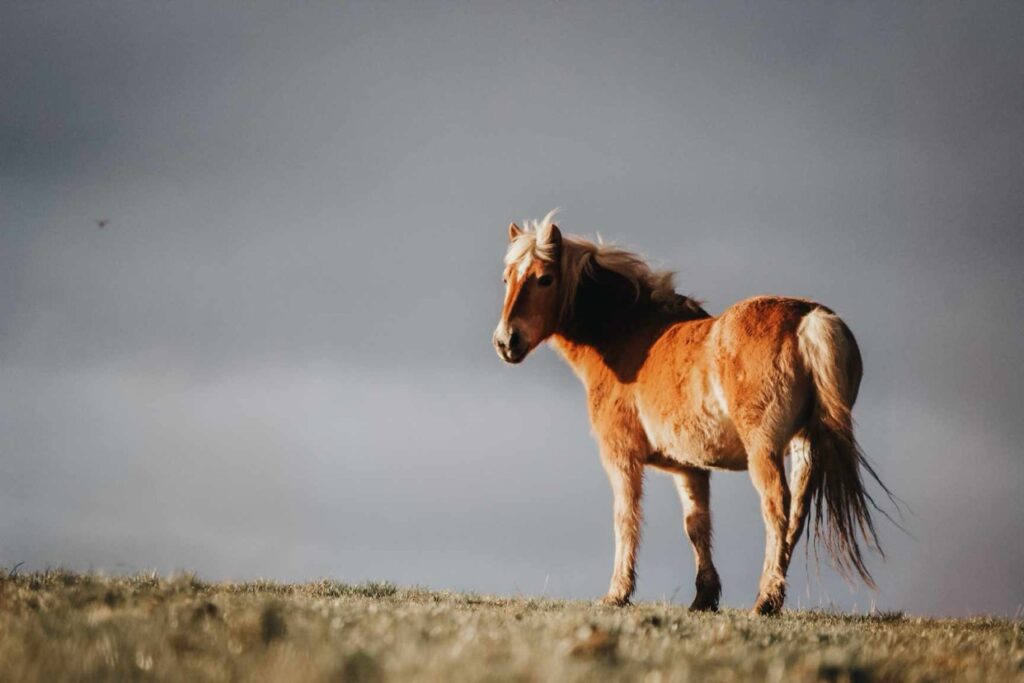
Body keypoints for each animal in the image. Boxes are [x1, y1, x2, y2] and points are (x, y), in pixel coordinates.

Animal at [491, 210, 892, 618]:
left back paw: (765, 599)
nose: (506, 341)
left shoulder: (621, 456)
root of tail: (808, 319)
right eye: (507, 279)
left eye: (544, 278)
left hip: (764, 450)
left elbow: (625, 517)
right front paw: (704, 597)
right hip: (804, 445)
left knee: (776, 507)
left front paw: (618, 593)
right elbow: (697, 526)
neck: (631, 336)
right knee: (794, 514)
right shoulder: (690, 467)